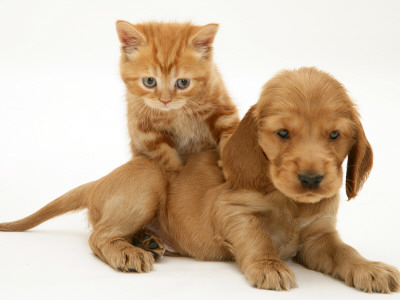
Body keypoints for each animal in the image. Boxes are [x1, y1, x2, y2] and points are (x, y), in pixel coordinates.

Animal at [0, 21, 238, 272]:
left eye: (183, 82)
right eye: (149, 81)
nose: (165, 100)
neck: (178, 112)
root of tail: (97, 184)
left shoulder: (223, 111)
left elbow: (228, 137)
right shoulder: (144, 130)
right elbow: (169, 159)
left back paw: (146, 241)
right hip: (146, 181)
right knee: (98, 237)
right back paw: (131, 251)